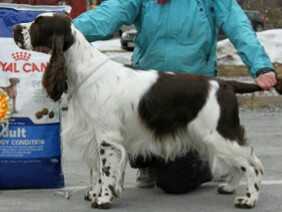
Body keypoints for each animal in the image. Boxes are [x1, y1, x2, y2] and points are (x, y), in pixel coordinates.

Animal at [13, 13, 282, 210]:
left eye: (38, 23)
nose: (15, 27)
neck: (82, 71)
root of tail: (225, 84)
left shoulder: (107, 137)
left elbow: (106, 170)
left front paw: (103, 199)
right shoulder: (94, 134)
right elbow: (98, 170)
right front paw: (95, 193)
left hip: (218, 134)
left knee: (253, 164)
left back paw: (249, 199)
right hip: (216, 137)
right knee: (245, 162)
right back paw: (230, 187)